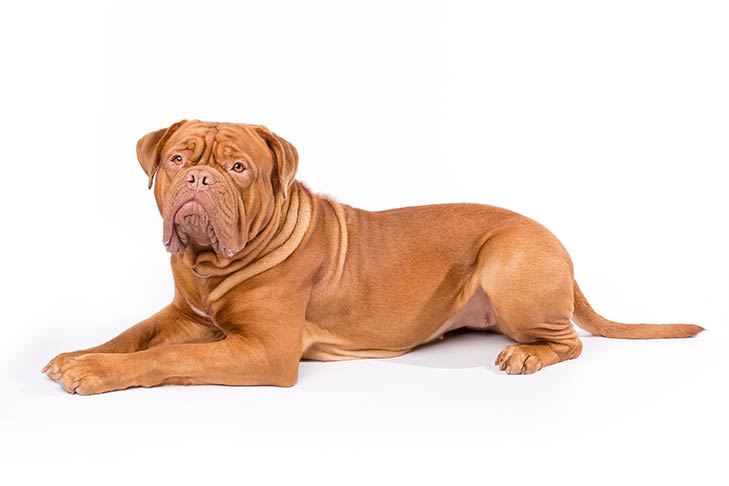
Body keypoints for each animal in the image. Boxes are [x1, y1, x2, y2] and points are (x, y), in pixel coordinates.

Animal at [42, 118, 704, 394]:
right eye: (177, 158)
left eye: (238, 168)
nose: (199, 179)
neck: (211, 267)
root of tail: (555, 239)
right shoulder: (185, 313)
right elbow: (133, 335)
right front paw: (79, 355)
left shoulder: (264, 350)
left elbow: (164, 359)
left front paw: (94, 373)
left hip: (508, 258)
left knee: (568, 342)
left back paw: (526, 355)